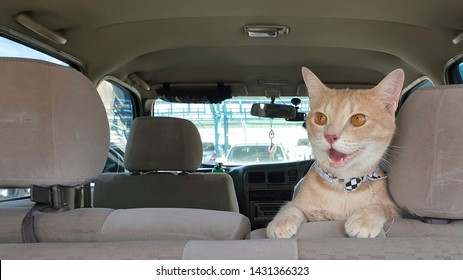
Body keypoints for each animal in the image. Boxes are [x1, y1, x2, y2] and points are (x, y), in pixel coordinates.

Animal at [266, 66, 404, 237]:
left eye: (358, 119)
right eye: (320, 118)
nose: (330, 136)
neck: (342, 186)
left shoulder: (395, 211)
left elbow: (382, 207)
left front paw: (364, 219)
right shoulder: (304, 208)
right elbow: (291, 207)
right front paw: (281, 221)